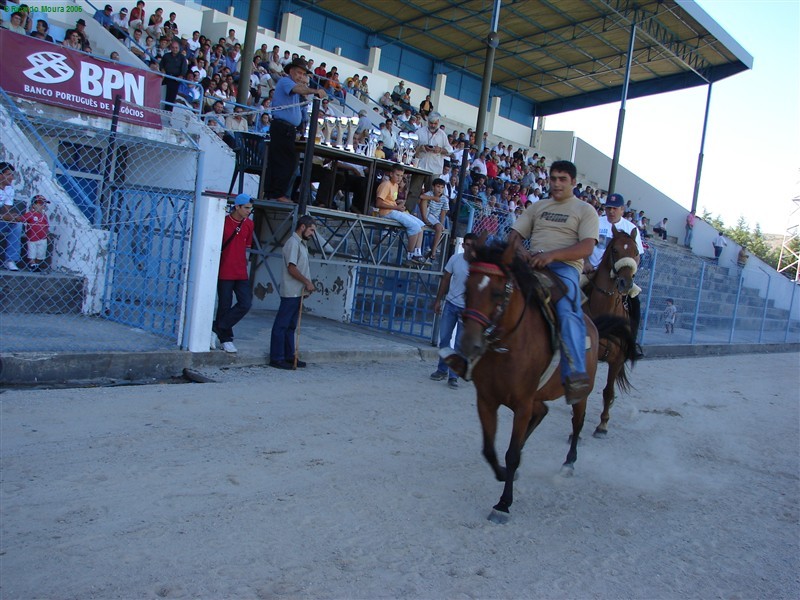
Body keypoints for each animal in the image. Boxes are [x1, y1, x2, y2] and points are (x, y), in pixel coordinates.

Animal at [580, 225, 636, 436]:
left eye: (637, 253)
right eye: (615, 250)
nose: (625, 283)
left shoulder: (617, 360)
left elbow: (608, 391)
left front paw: (603, 424)